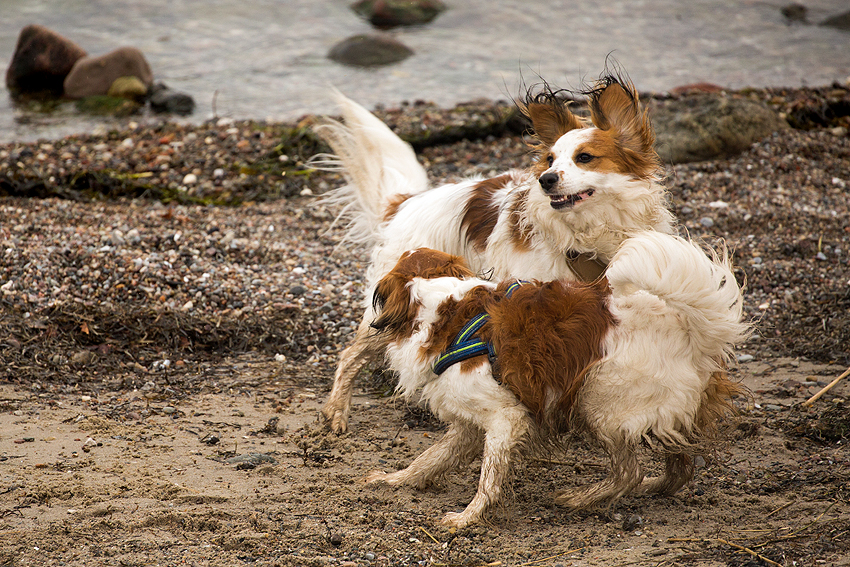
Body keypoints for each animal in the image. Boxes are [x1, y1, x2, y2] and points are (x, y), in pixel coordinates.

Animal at [312, 73, 676, 432]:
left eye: (584, 157)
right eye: (550, 159)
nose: (545, 179)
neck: (589, 236)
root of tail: (406, 202)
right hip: (389, 309)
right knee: (350, 355)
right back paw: (337, 411)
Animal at [362, 232, 744, 528]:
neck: (448, 311)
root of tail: (687, 327)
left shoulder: (505, 418)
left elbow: (488, 477)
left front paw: (468, 516)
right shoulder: (468, 426)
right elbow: (427, 459)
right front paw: (393, 480)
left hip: (598, 402)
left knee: (628, 471)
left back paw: (579, 499)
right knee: (679, 470)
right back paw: (649, 487)